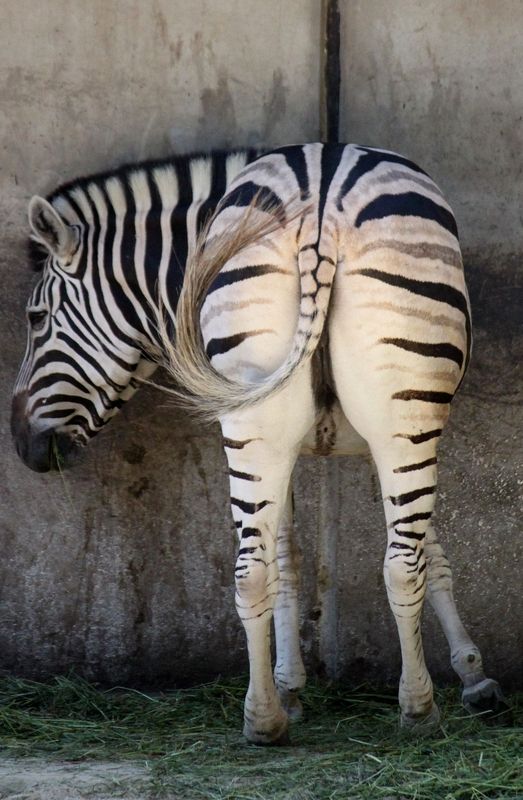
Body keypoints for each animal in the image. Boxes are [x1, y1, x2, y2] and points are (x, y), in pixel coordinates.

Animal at [11, 143, 507, 745]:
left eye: (36, 318)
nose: (22, 446)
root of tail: (322, 203)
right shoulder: (359, 440)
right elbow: (325, 556)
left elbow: (411, 553)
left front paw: (472, 676)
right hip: (377, 415)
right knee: (360, 564)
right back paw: (379, 710)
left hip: (301, 421)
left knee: (291, 566)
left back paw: (307, 715)